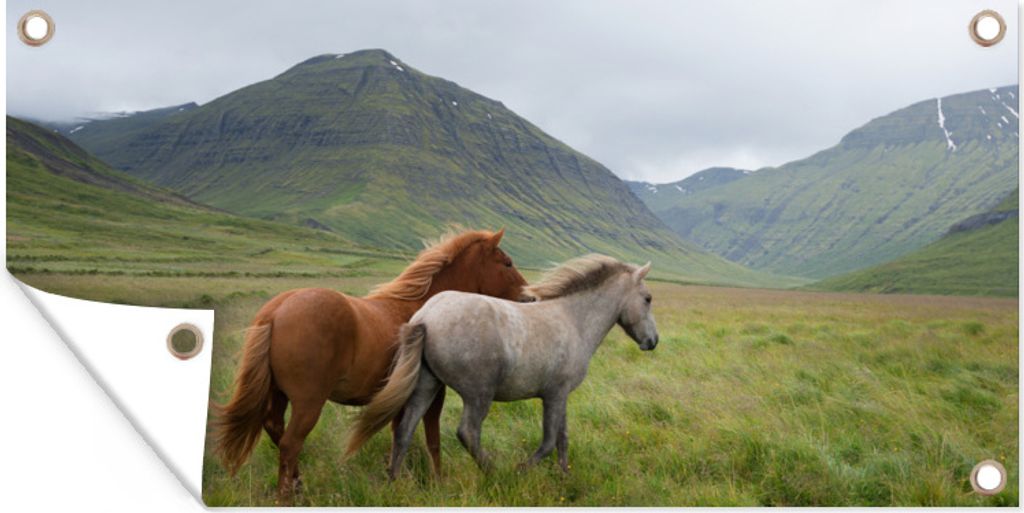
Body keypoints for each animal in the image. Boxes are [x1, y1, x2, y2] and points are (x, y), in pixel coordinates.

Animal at [212, 228, 529, 502]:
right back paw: (286, 497)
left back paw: (298, 485)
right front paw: (437, 483)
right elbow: (432, 438)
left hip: (278, 395)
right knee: (290, 444)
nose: (529, 298)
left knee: (276, 432)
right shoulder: (433, 392)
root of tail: (276, 311)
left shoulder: (400, 399)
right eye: (507, 263)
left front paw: (397, 479)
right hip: (308, 402)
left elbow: (399, 436)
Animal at [345, 254, 659, 479]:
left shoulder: (561, 397)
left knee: (404, 431)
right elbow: (548, 442)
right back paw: (495, 473)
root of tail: (426, 316)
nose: (653, 341)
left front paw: (565, 477)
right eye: (647, 298)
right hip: (478, 394)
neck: (573, 319)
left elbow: (562, 439)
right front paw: (521, 470)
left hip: (427, 385)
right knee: (468, 433)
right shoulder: (554, 395)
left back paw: (394, 481)